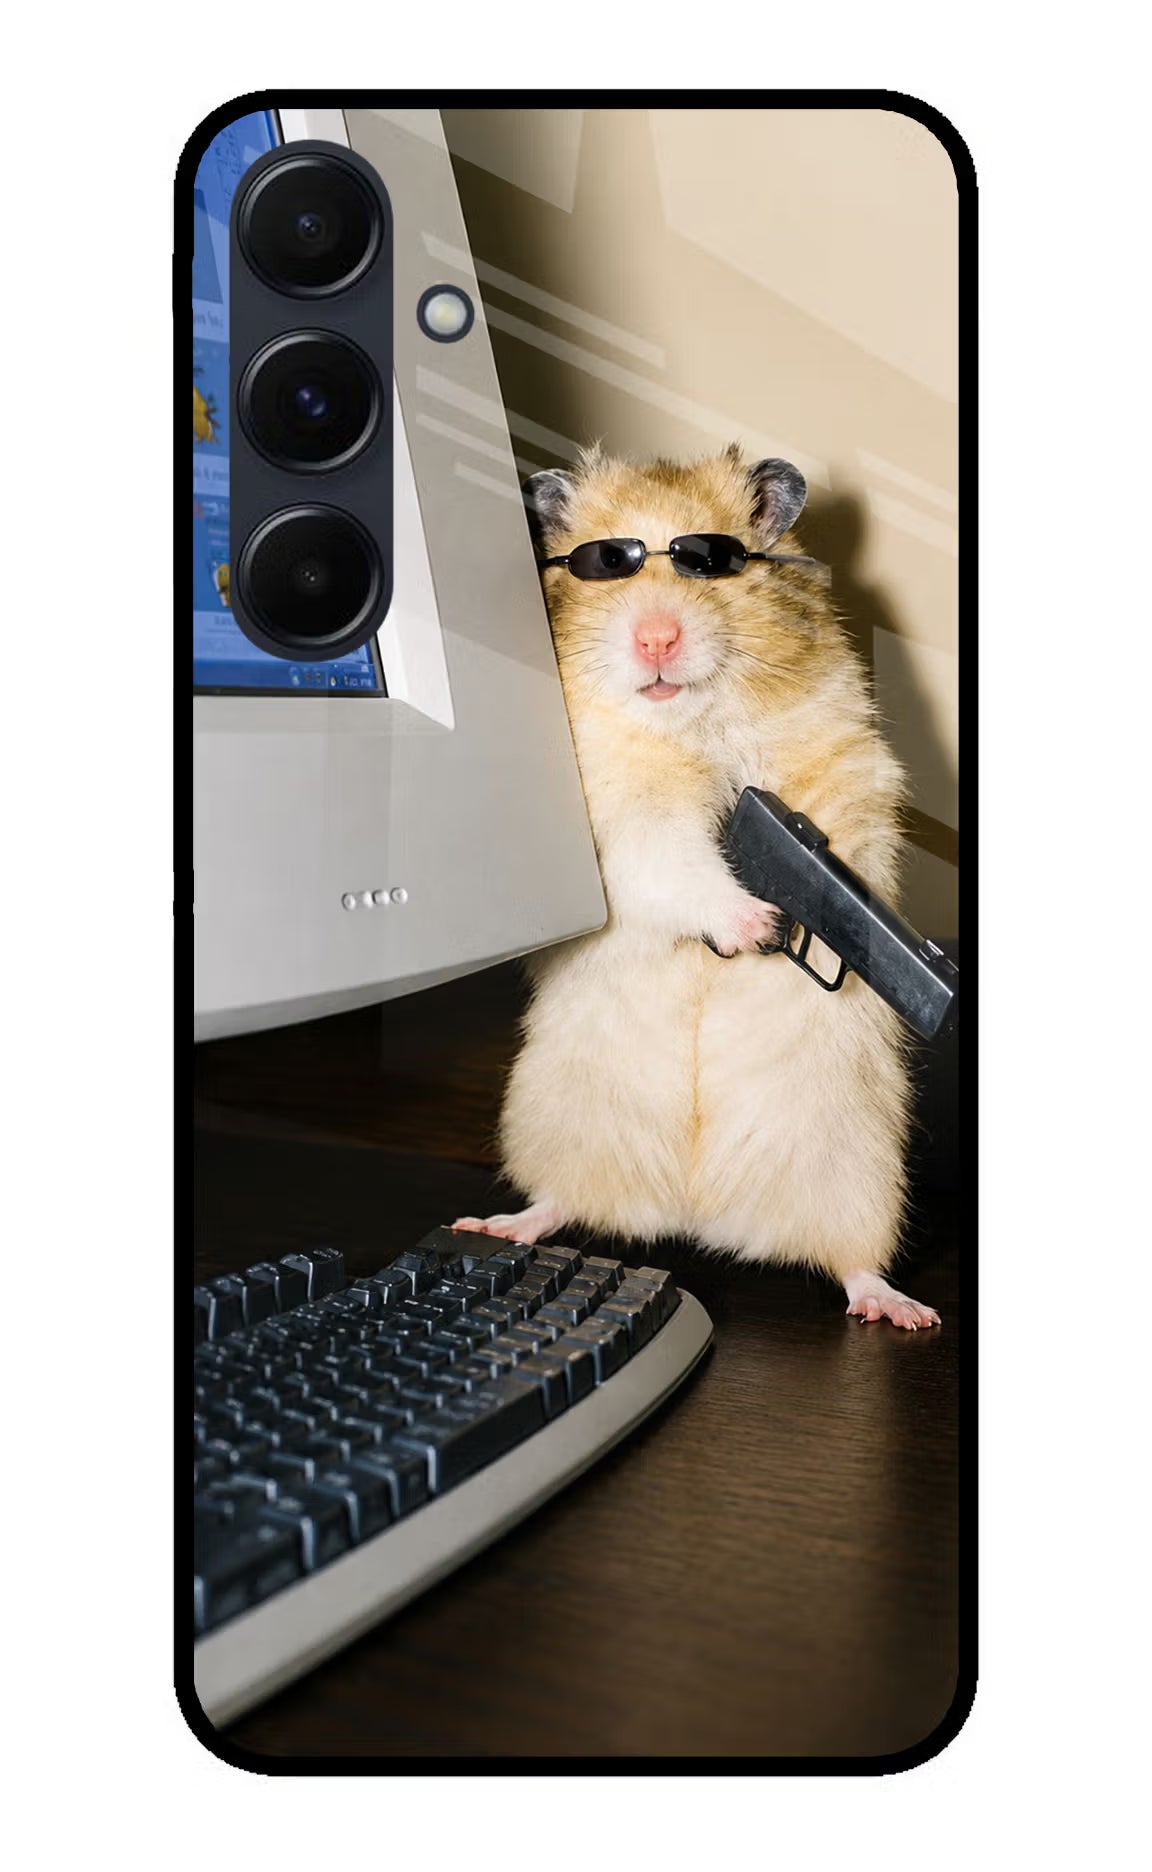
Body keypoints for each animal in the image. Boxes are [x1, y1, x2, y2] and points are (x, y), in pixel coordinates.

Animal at [455, 444, 939, 1329]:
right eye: (606, 564)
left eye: (709, 561)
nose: (656, 638)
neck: (690, 723)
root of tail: (695, 1213)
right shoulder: (621, 817)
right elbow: (675, 862)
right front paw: (756, 925)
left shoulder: (841, 764)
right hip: (556, 1119)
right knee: (560, 1200)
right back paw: (498, 1223)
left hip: (857, 1170)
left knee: (852, 1261)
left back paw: (901, 1310)